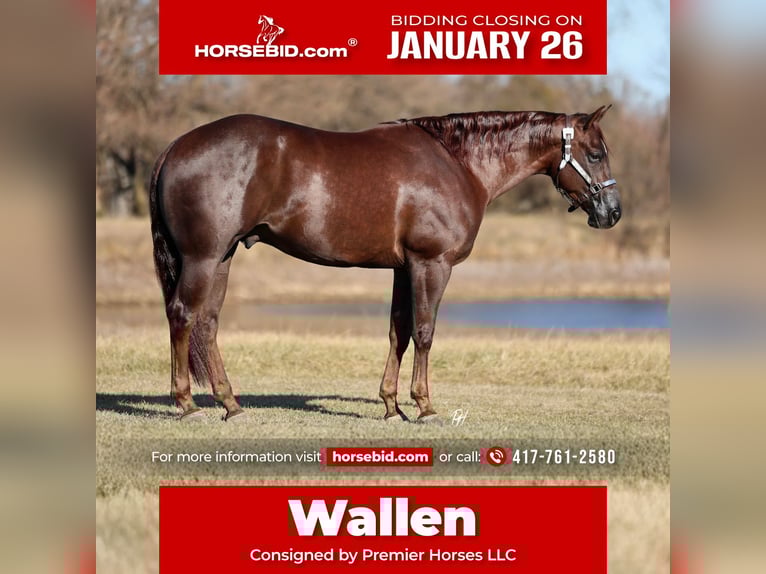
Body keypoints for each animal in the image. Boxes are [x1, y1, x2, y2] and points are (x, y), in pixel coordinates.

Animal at [149, 106, 621, 423]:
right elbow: (425, 332)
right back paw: (187, 404)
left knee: (208, 322)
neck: (457, 163)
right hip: (203, 258)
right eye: (596, 154)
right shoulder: (432, 264)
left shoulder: (403, 267)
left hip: (222, 257)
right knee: (183, 316)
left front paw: (392, 406)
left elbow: (400, 332)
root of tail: (174, 146)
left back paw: (231, 404)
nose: (612, 213)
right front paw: (425, 406)